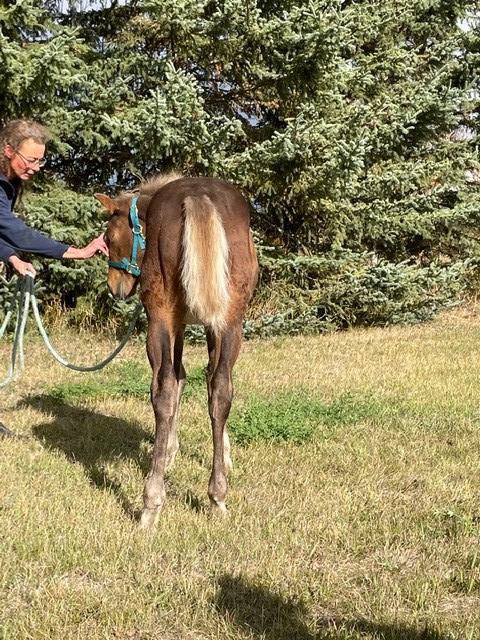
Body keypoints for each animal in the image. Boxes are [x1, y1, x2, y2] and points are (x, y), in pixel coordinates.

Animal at [96, 174, 258, 524]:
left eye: (109, 237)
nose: (115, 288)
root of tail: (197, 196)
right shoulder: (207, 322)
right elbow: (209, 382)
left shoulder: (178, 322)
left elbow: (181, 377)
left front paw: (169, 451)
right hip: (229, 321)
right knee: (219, 389)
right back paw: (215, 496)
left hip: (161, 315)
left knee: (166, 389)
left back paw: (152, 501)